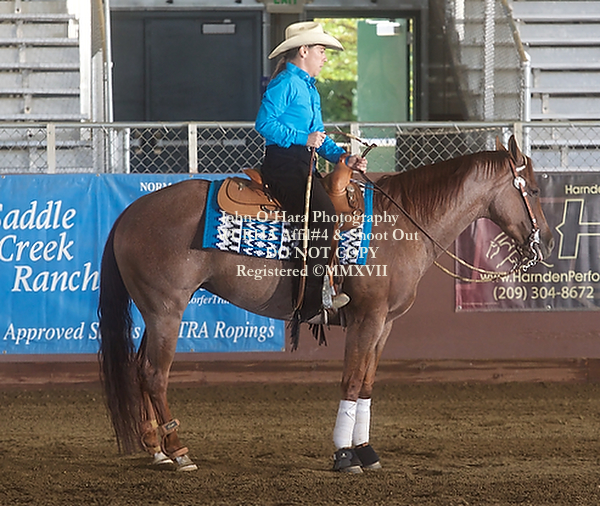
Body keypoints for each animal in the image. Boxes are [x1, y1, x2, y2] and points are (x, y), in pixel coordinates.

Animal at [98, 135, 554, 472]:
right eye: (532, 189)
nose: (548, 241)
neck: (400, 224)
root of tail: (128, 213)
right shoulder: (366, 318)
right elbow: (350, 383)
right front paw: (344, 455)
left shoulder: (385, 323)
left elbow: (366, 384)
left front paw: (366, 451)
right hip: (167, 311)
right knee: (155, 374)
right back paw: (179, 451)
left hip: (155, 312)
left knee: (140, 369)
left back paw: (156, 448)